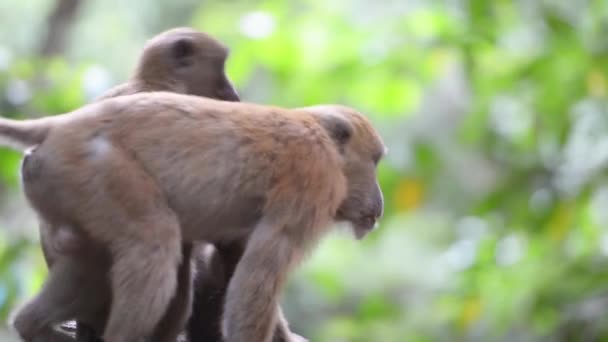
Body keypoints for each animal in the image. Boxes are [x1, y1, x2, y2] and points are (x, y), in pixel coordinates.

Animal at [0, 91, 384, 342]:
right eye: (376, 160)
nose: (379, 201)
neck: (325, 142)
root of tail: (63, 124)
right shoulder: (314, 180)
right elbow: (257, 276)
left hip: (60, 184)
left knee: (90, 262)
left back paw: (31, 326)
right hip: (96, 171)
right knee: (154, 241)